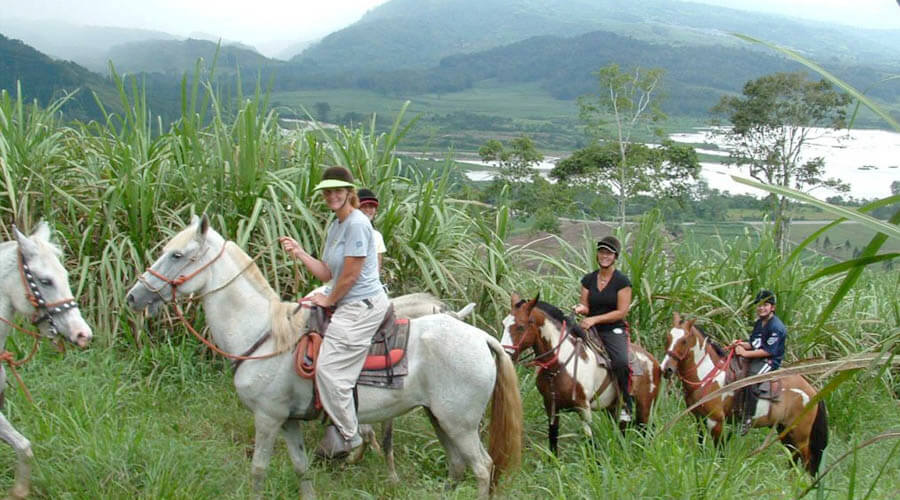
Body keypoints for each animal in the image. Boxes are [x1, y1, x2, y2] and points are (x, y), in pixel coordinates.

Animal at [123, 216, 524, 500]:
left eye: (176, 255)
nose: (133, 296)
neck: (265, 335)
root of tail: (480, 335)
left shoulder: (267, 417)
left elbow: (258, 470)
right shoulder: (288, 421)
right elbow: (301, 469)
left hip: (460, 423)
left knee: (482, 468)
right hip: (440, 417)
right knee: (457, 467)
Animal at [500, 294, 660, 456]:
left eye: (520, 326)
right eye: (503, 324)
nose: (505, 355)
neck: (559, 366)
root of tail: (653, 360)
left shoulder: (583, 408)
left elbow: (590, 443)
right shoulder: (551, 406)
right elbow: (553, 439)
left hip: (645, 406)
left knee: (645, 430)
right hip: (613, 408)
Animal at [660, 312, 828, 476]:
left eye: (683, 341)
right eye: (668, 338)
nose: (666, 369)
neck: (707, 377)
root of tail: (813, 390)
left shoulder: (716, 421)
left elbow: (719, 450)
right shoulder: (698, 418)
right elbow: (701, 445)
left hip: (800, 434)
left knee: (806, 460)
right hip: (785, 430)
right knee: (793, 457)